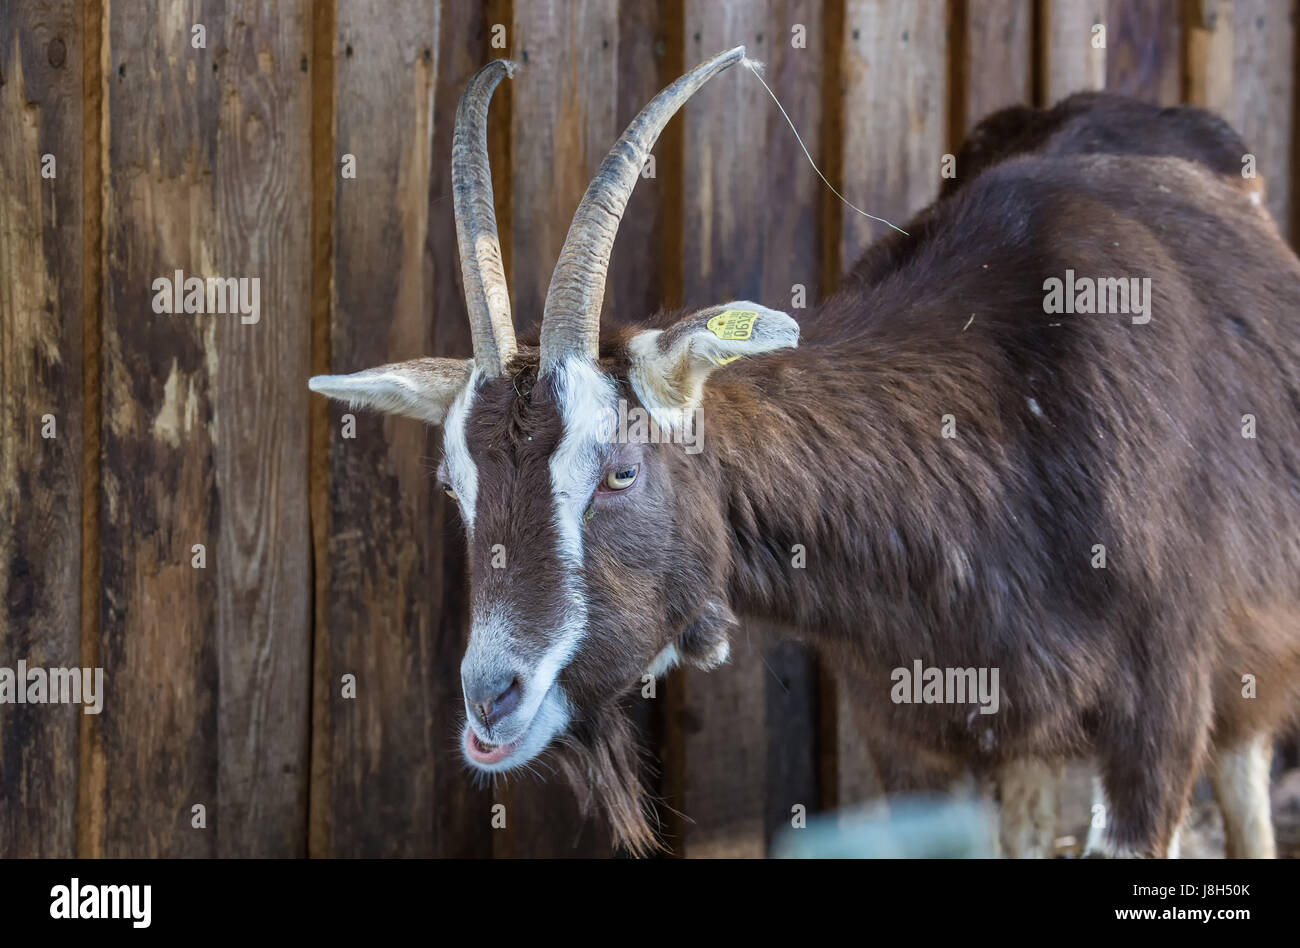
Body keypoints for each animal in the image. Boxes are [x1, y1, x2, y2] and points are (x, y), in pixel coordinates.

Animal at [309, 47, 1300, 857]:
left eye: (619, 472)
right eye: (457, 486)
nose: (492, 698)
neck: (1013, 419)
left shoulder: (1156, 722)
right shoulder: (907, 733)